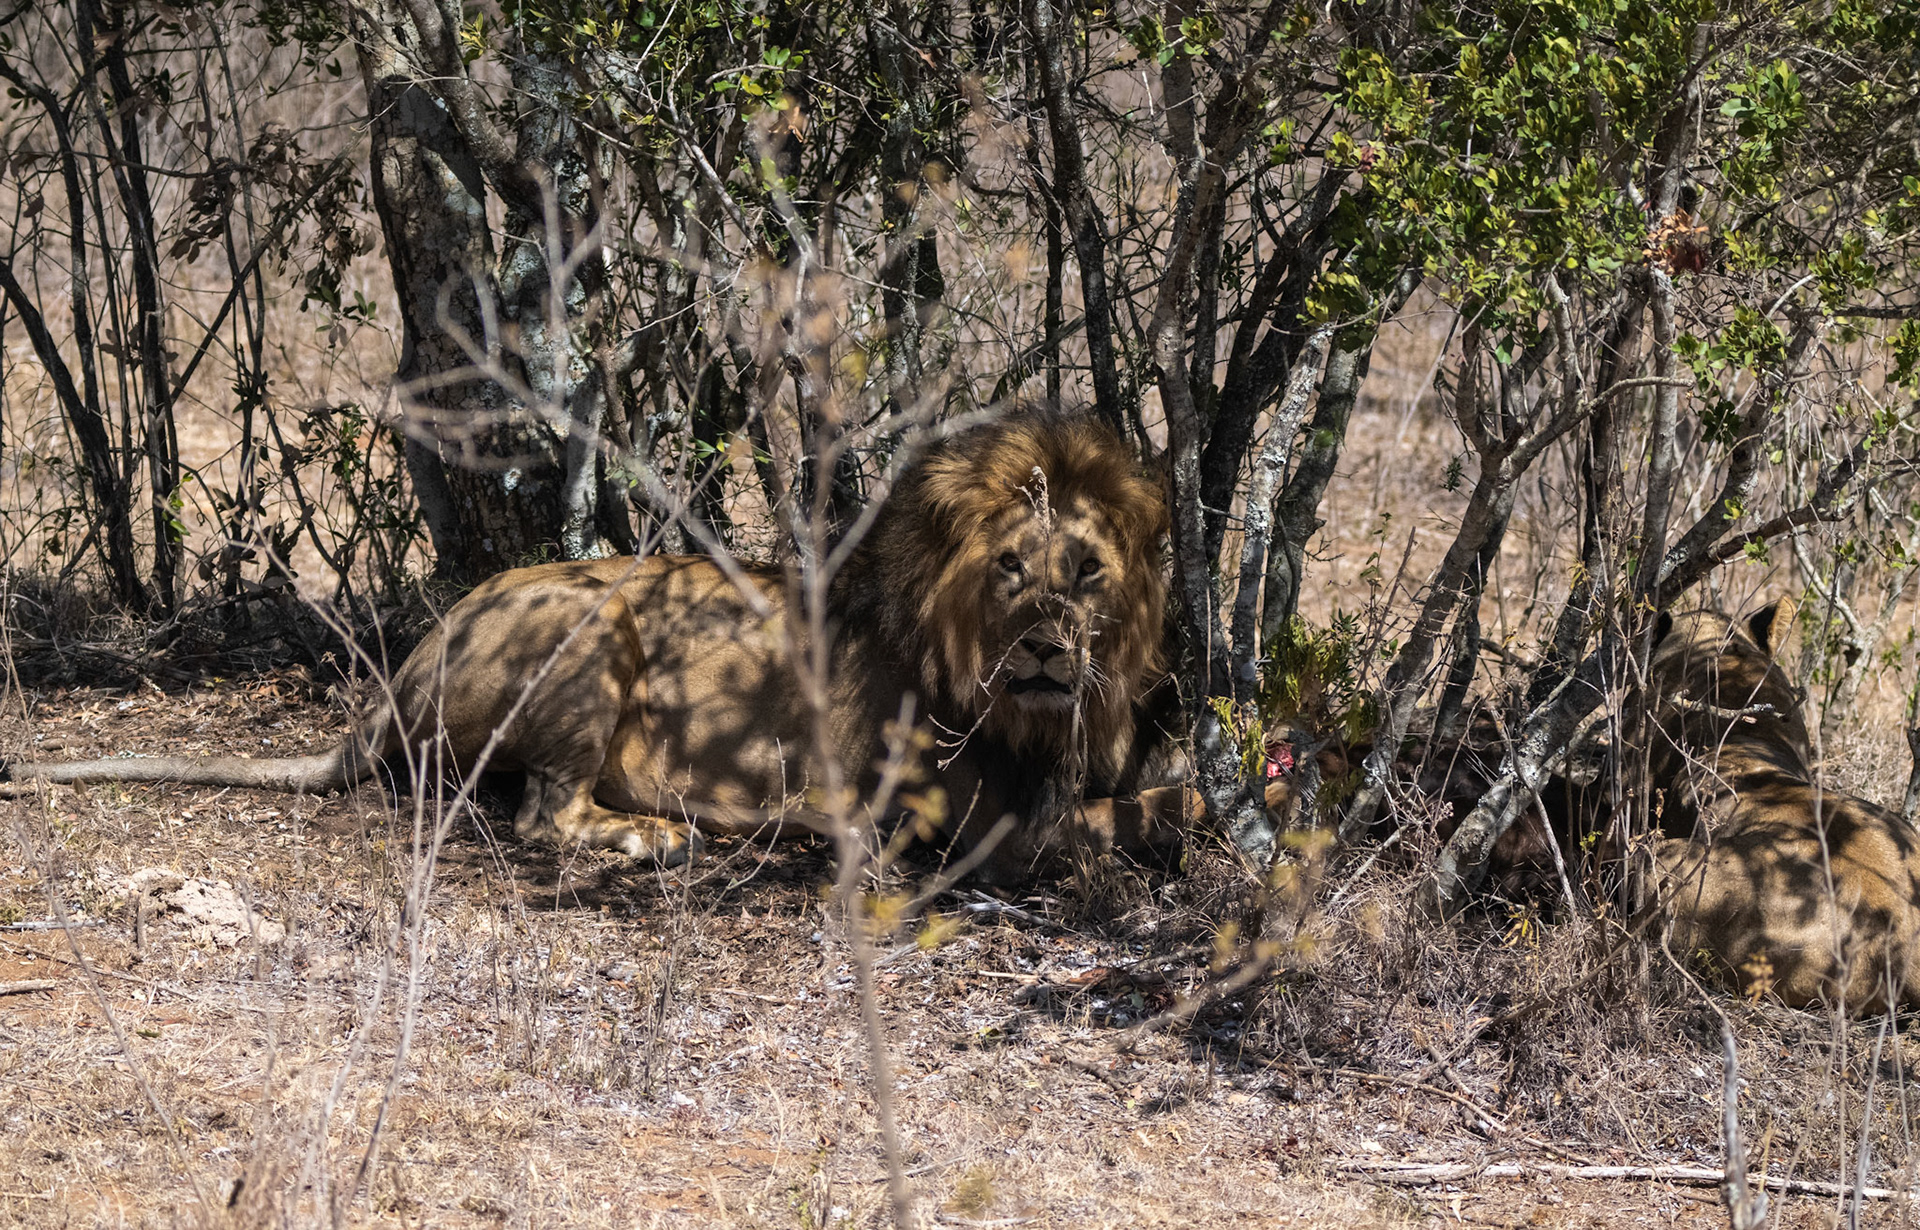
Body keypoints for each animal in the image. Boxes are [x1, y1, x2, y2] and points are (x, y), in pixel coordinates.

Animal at [4, 412, 1188, 883]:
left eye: (1086, 572)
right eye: (1010, 569)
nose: (1047, 650)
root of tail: (399, 671)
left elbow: (1156, 792)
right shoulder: (969, 822)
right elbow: (1138, 813)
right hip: (594, 629)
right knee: (544, 813)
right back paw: (662, 837)